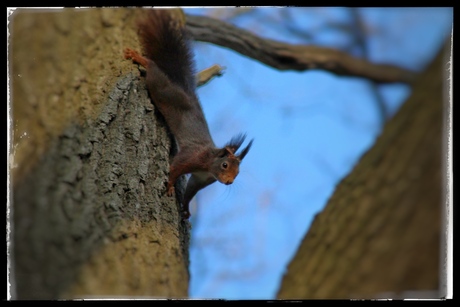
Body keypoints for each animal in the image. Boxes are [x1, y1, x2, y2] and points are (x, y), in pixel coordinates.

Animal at [124, 9, 253, 220]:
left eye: (239, 171)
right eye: (225, 165)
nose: (229, 182)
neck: (209, 166)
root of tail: (183, 88)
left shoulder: (200, 179)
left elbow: (190, 191)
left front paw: (185, 209)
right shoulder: (191, 157)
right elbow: (174, 168)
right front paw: (169, 187)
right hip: (163, 91)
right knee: (153, 70)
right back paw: (139, 58)